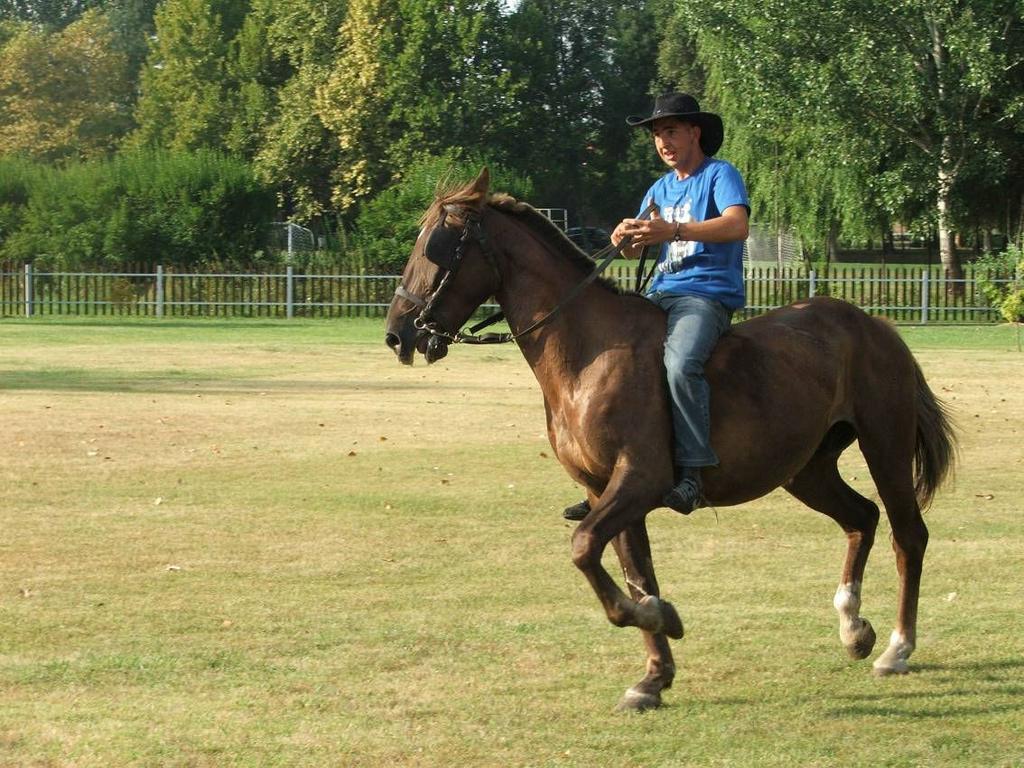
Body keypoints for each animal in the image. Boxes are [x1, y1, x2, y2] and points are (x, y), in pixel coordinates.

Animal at [382, 171, 950, 712]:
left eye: (437, 245)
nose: (398, 334)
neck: (587, 355)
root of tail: (873, 323)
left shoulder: (640, 480)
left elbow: (584, 548)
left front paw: (661, 619)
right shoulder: (604, 491)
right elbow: (636, 573)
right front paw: (654, 674)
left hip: (885, 445)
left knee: (908, 535)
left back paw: (898, 648)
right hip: (806, 469)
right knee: (862, 518)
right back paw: (853, 628)